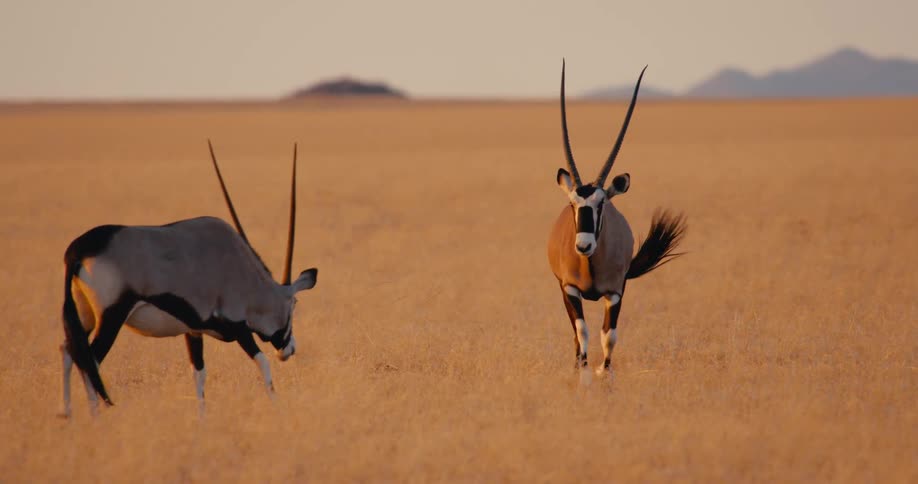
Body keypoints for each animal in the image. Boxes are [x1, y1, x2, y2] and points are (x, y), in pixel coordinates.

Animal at [59, 141, 317, 417]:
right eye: (294, 306)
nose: (290, 349)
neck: (243, 272)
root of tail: (78, 249)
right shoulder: (238, 326)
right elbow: (262, 361)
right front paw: (277, 404)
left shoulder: (193, 330)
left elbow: (199, 374)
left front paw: (202, 418)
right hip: (111, 317)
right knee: (91, 361)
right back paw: (95, 416)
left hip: (84, 316)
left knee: (69, 351)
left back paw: (68, 414)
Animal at [547, 61, 686, 374]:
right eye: (573, 203)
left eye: (601, 203)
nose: (583, 246)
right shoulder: (569, 288)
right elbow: (582, 332)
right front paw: (584, 373)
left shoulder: (616, 292)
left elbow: (608, 336)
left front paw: (604, 373)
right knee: (576, 335)